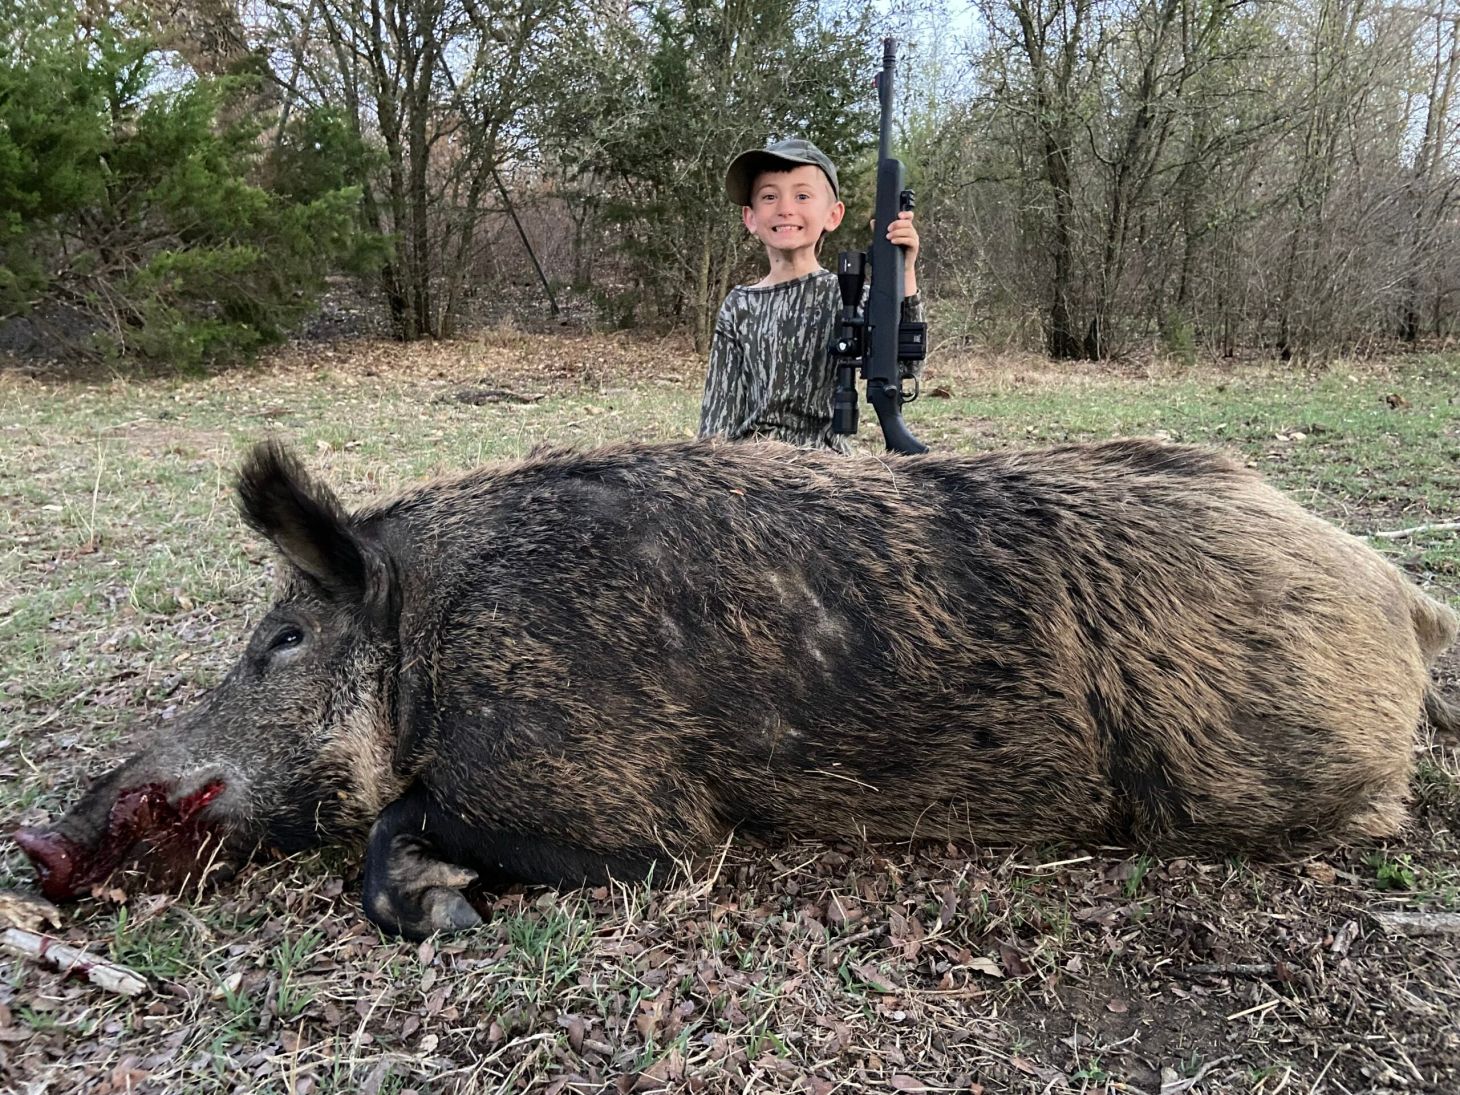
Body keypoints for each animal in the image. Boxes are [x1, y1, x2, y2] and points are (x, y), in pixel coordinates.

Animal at [14, 437, 1459, 939]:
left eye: (279, 638)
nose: (34, 837)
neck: (435, 644)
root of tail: (1394, 586)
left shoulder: (631, 811)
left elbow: (393, 828)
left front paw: (451, 919)